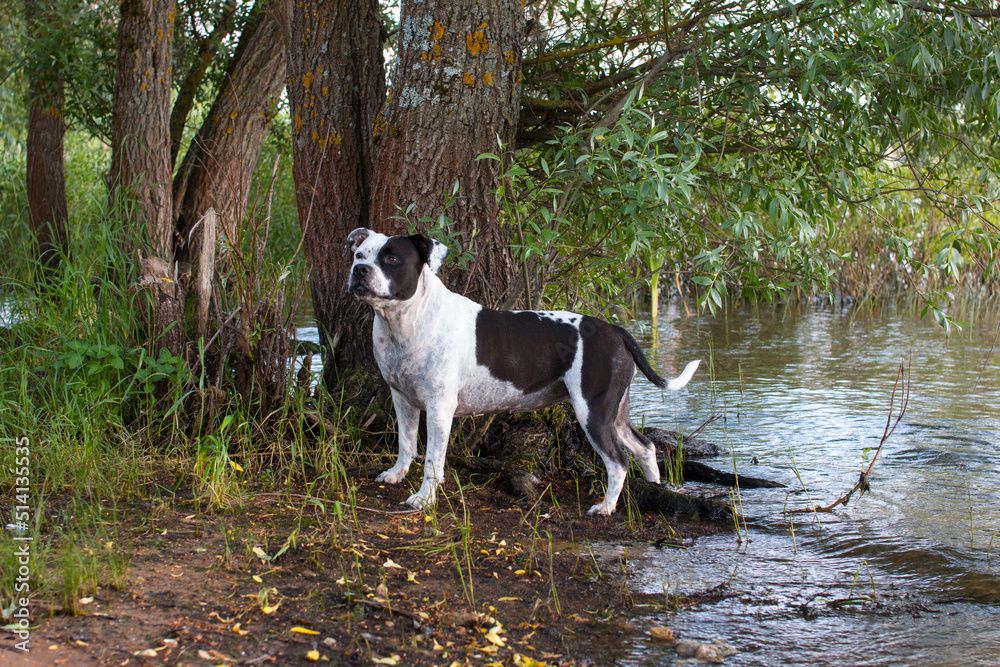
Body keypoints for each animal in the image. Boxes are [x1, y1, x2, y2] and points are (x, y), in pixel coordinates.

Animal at [348, 230, 700, 516]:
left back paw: (606, 507)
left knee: (618, 461)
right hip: (615, 412)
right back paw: (656, 489)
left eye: (392, 259)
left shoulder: (438, 409)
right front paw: (397, 475)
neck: (408, 320)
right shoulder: (402, 399)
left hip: (593, 412)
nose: (359, 270)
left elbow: (433, 460)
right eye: (359, 254)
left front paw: (423, 500)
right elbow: (406, 443)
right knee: (645, 448)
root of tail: (615, 330)